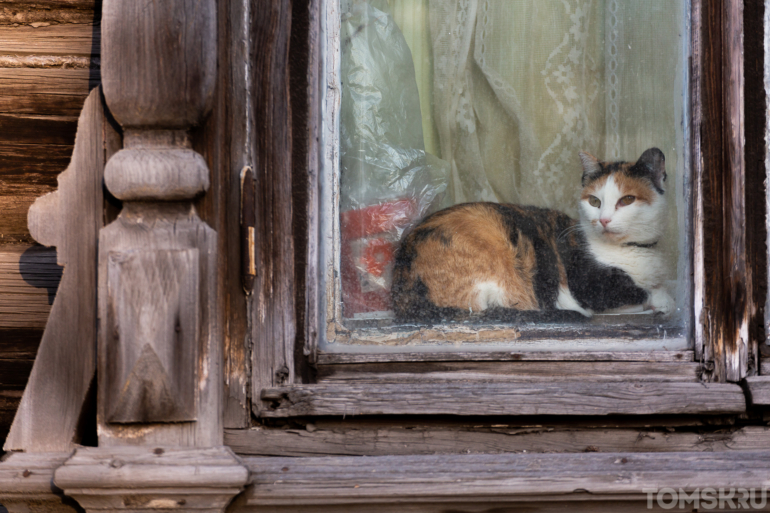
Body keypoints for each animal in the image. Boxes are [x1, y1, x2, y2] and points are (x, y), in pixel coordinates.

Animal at [390, 147, 672, 320]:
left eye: (627, 200)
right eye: (594, 201)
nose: (603, 220)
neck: (635, 249)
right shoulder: (589, 286)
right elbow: (642, 292)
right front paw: (662, 299)